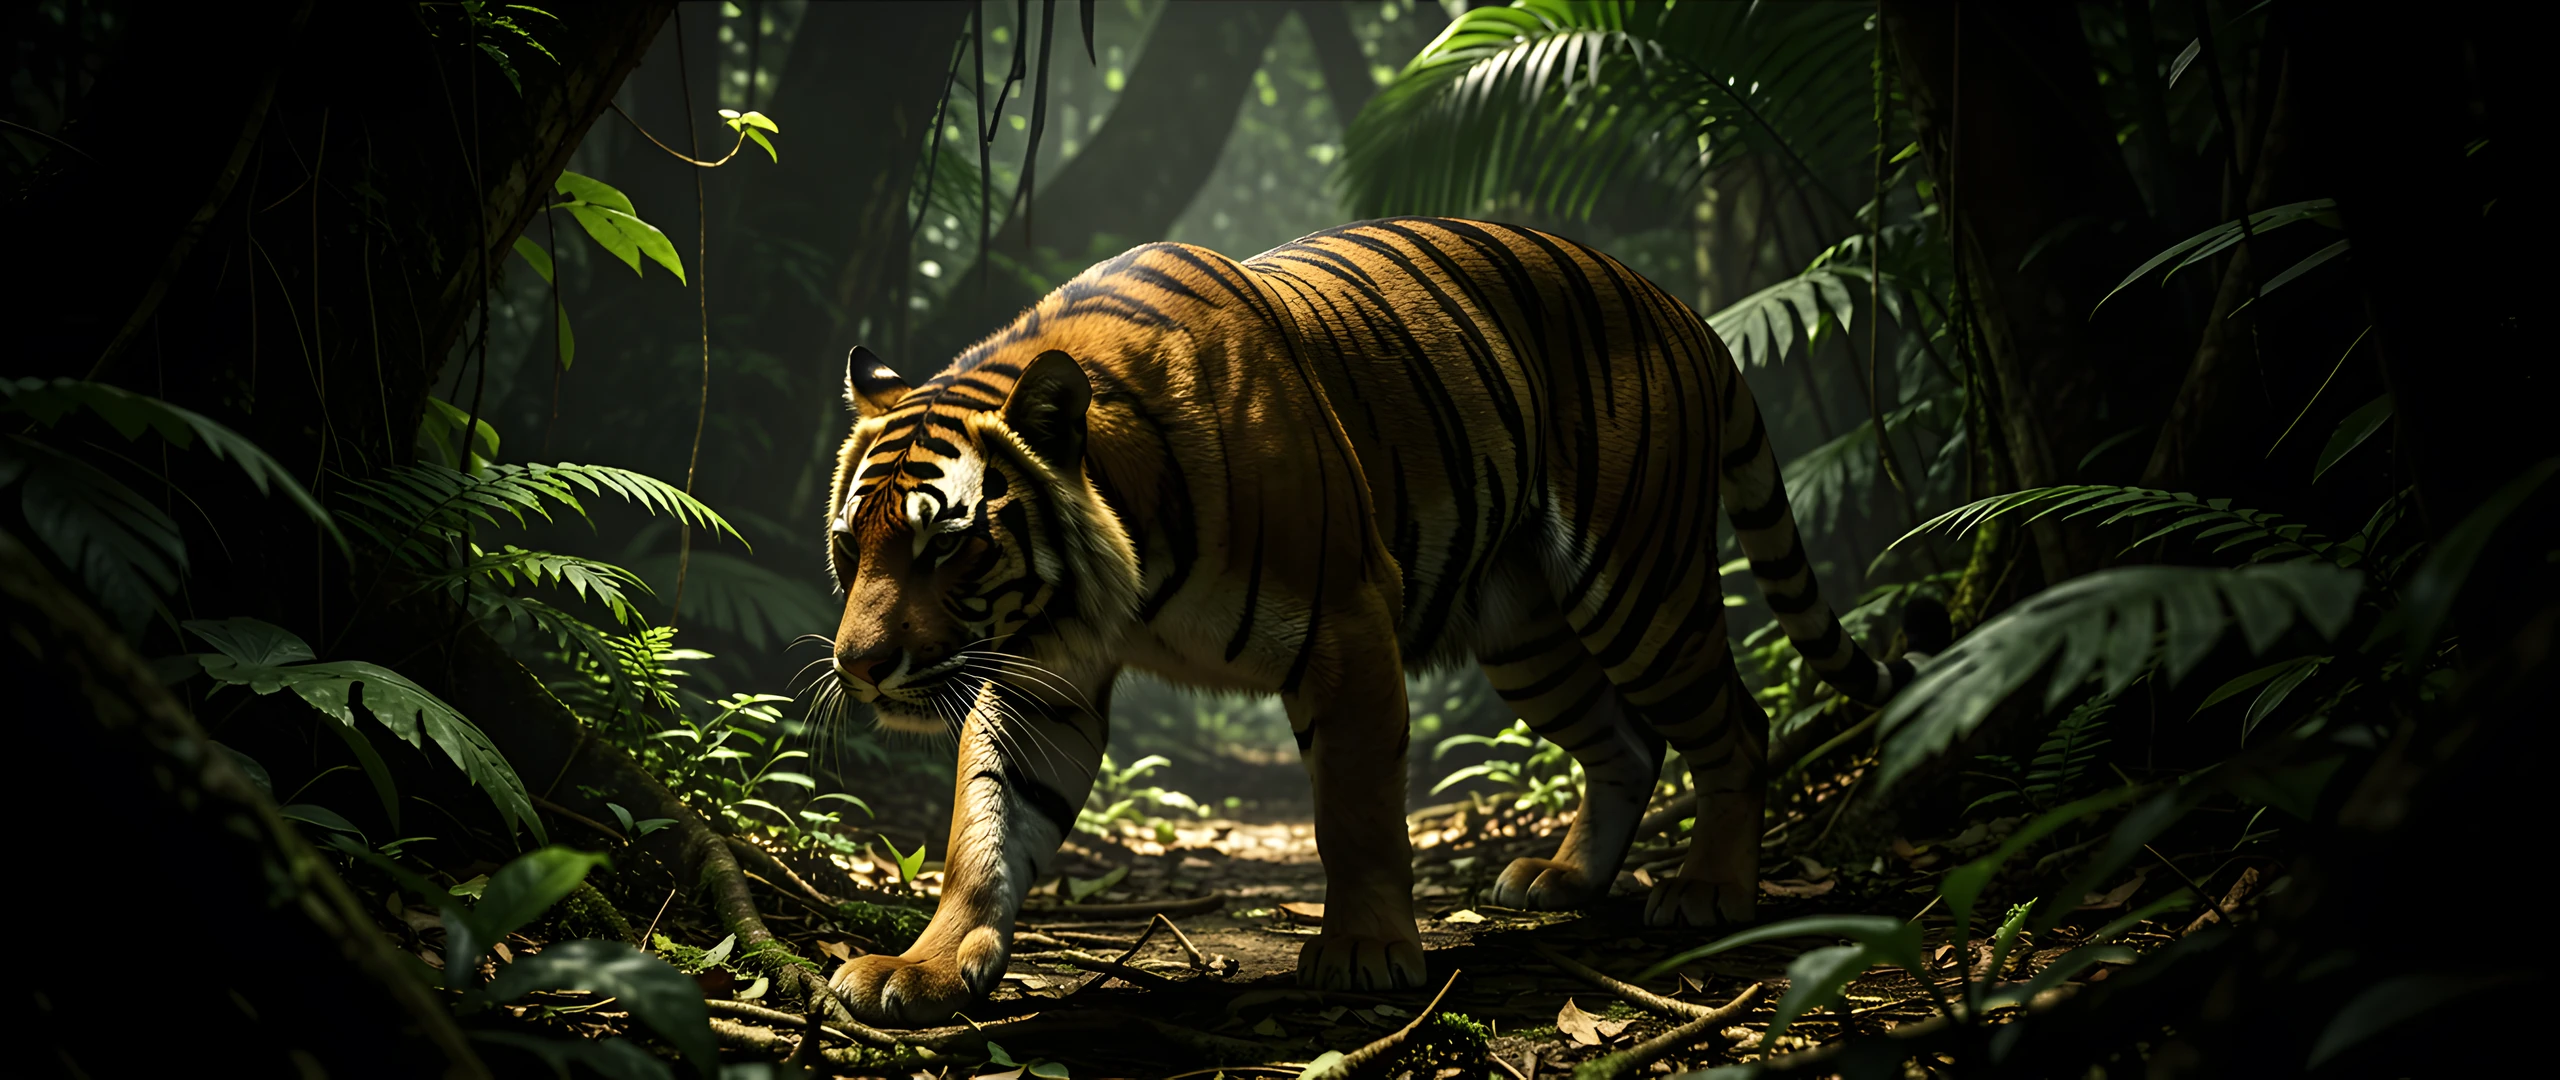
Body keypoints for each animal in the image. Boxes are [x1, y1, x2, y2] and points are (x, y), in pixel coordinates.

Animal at [818, 217, 1923, 1024]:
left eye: (946, 544)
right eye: (847, 547)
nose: (860, 666)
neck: (1114, 569)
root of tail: (1684, 311)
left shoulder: (1344, 625)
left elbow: (1352, 810)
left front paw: (1364, 951)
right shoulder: (1040, 672)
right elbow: (986, 827)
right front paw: (918, 967)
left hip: (1638, 588)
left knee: (1737, 726)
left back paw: (1708, 891)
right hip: (1527, 636)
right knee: (1626, 743)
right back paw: (1564, 878)